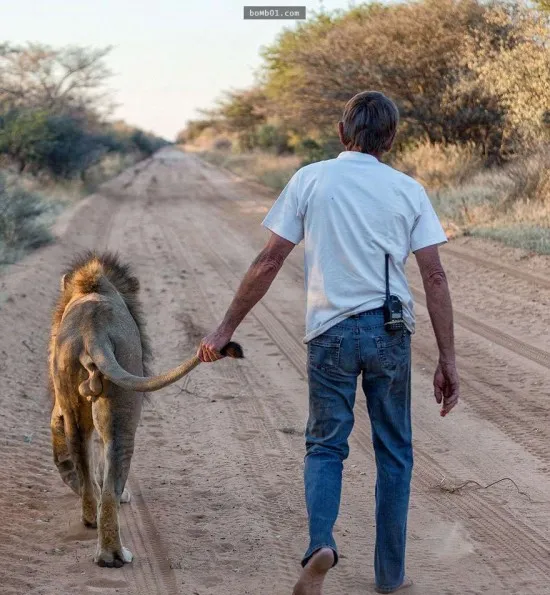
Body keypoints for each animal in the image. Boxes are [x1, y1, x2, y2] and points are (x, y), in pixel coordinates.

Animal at [49, 251, 244, 568]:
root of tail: (93, 331)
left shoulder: (61, 400)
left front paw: (68, 476)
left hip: (73, 395)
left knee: (82, 455)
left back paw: (90, 516)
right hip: (124, 404)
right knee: (111, 483)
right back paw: (113, 554)